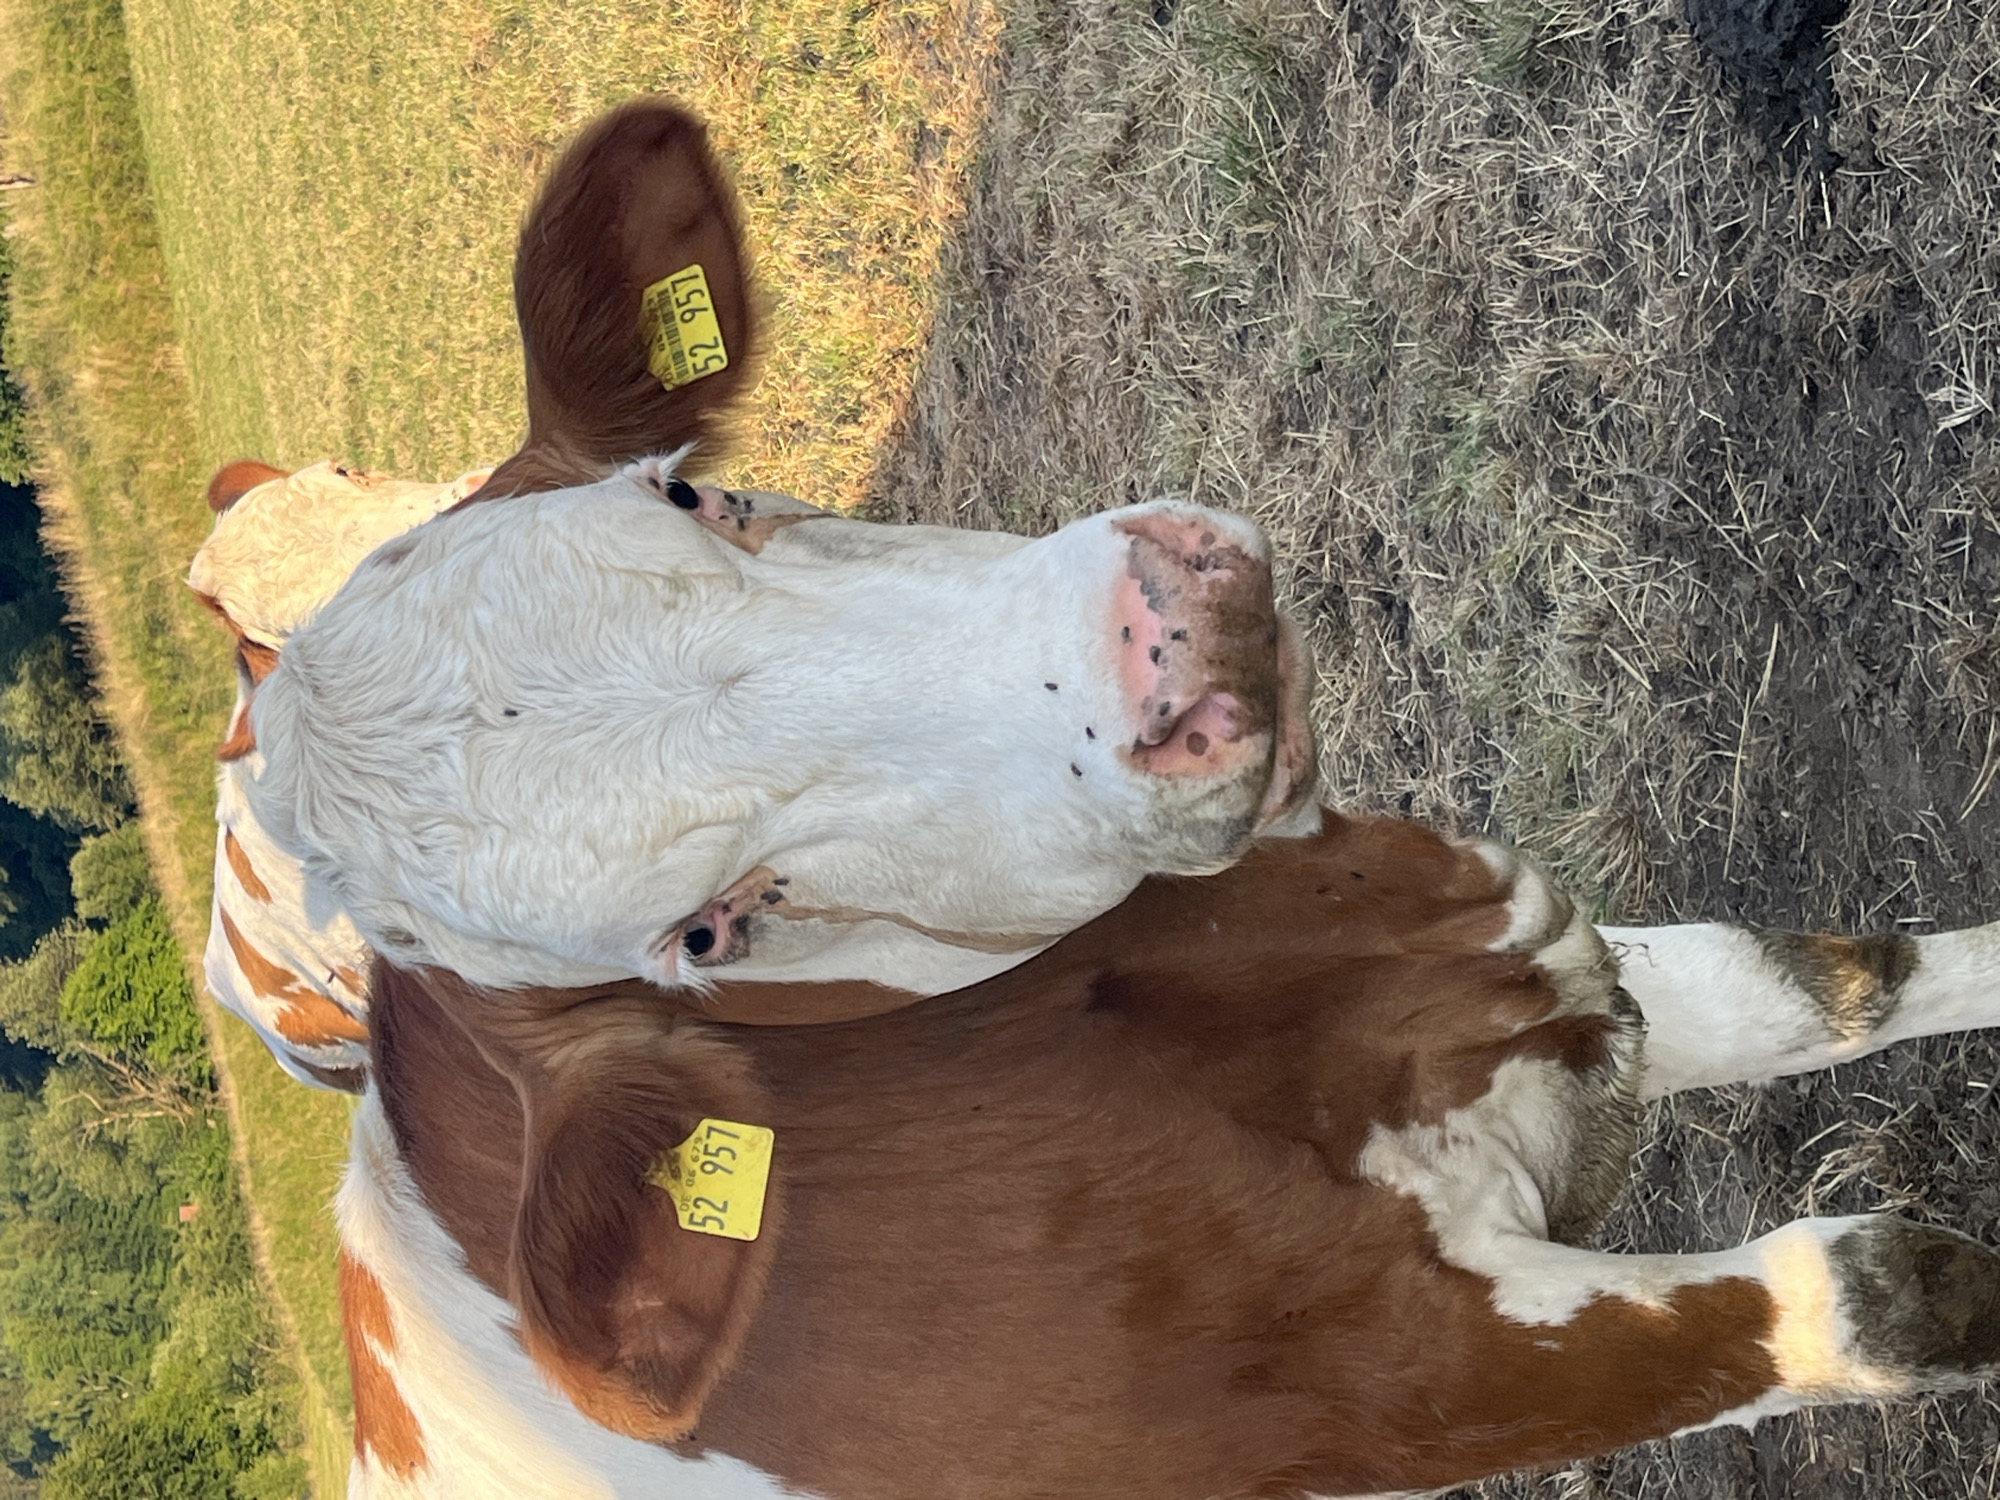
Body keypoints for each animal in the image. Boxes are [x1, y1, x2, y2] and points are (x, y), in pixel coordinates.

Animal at [198, 101, 2000, 1497]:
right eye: (705, 932)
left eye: (701, 494)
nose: (1172, 648)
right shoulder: (1401, 1382)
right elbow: (1884, 1292)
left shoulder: (1530, 947)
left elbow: (1849, 981)